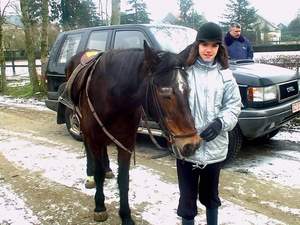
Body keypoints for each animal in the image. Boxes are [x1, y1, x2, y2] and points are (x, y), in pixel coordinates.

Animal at [62, 41, 200, 224]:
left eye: (188, 91)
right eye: (165, 94)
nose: (192, 144)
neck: (113, 98)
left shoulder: (126, 142)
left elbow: (124, 179)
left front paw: (126, 215)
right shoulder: (94, 138)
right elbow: (99, 173)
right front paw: (100, 207)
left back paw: (108, 169)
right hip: (83, 126)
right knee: (88, 149)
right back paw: (90, 176)